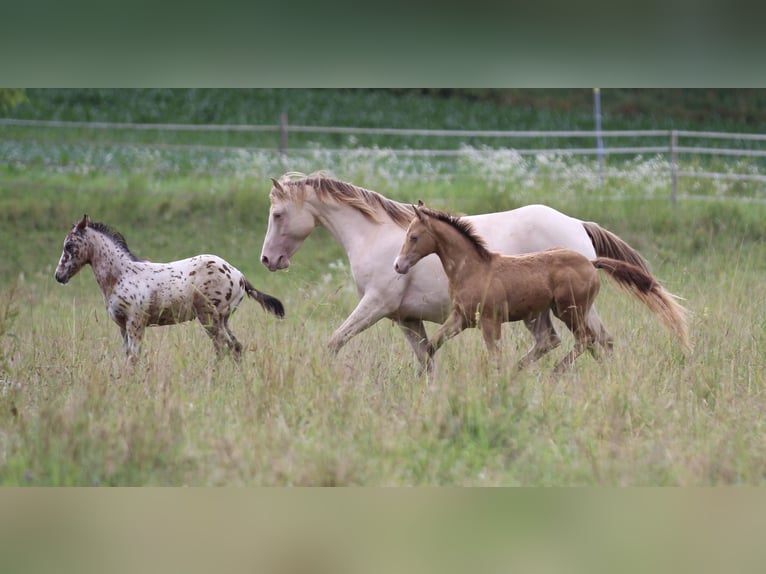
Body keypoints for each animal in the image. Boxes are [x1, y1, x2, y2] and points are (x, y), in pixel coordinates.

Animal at [55, 214, 285, 362]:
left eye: (69, 245)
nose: (58, 276)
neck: (121, 275)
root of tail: (239, 275)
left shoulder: (135, 323)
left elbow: (134, 358)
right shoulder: (122, 326)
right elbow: (127, 356)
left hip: (209, 318)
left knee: (223, 348)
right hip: (223, 319)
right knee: (235, 348)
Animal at [259, 173, 654, 372]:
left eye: (277, 214)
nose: (267, 260)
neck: (372, 235)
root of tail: (578, 225)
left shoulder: (377, 305)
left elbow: (335, 341)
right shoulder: (405, 318)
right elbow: (426, 356)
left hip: (567, 308)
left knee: (591, 341)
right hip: (546, 312)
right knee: (583, 342)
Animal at [393, 203, 690, 373]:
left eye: (414, 237)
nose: (398, 265)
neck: (474, 268)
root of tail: (591, 261)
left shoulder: (490, 320)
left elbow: (495, 357)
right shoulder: (462, 317)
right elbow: (431, 345)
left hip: (569, 309)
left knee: (585, 340)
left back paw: (554, 373)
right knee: (585, 341)